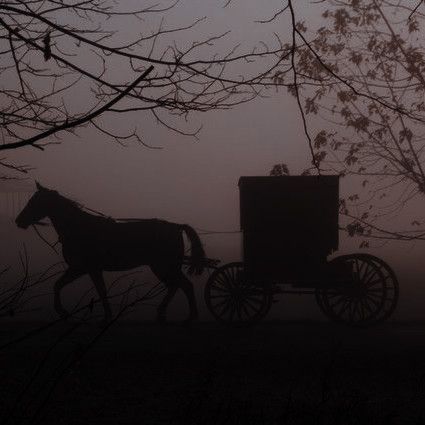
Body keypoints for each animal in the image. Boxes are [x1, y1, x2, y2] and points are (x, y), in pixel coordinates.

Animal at [17, 181, 206, 322]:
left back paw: (190, 316)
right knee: (175, 286)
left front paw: (63, 311)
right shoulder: (84, 269)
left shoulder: (84, 268)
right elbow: (71, 286)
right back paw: (163, 312)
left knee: (184, 285)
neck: (78, 227)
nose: (19, 220)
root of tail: (176, 226)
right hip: (164, 268)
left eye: (35, 201)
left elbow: (91, 289)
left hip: (164, 267)